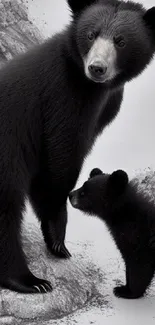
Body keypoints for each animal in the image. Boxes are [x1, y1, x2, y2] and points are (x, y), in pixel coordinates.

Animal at [69, 170, 155, 298]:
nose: (70, 195)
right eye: (83, 185)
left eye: (84, 192)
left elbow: (139, 265)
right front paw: (125, 287)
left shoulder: (139, 238)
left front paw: (125, 291)